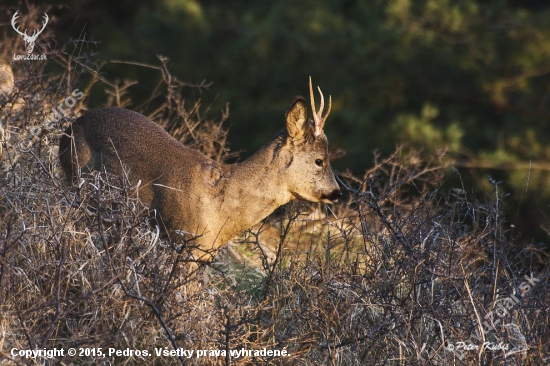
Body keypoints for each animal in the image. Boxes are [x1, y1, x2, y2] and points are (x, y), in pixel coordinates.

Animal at [59, 78, 340, 260]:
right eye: (319, 160)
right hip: (78, 182)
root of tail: (69, 127)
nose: (337, 192)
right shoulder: (184, 241)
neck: (223, 206)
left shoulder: (204, 253)